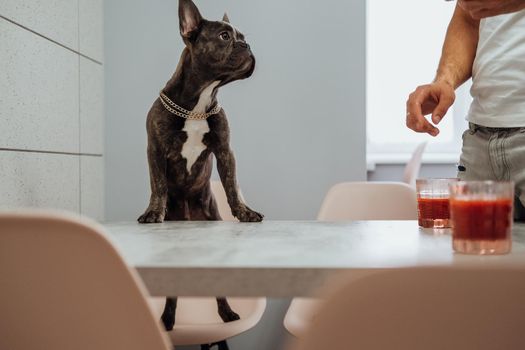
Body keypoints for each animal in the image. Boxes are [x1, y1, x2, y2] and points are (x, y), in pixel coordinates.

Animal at [138, 0, 264, 338]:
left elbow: (232, 185)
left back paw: (227, 313)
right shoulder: (155, 149)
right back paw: (167, 320)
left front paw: (245, 212)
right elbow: (158, 184)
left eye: (242, 36)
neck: (198, 103)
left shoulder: (224, 151)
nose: (248, 46)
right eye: (224, 36)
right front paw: (153, 213)